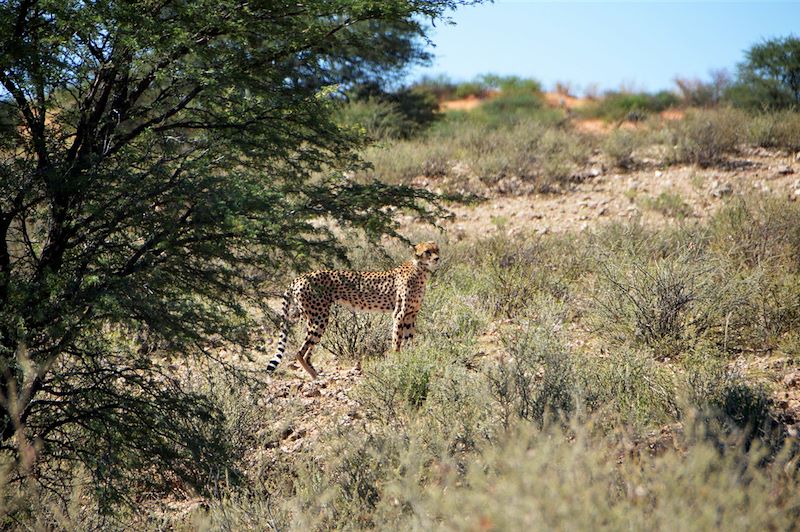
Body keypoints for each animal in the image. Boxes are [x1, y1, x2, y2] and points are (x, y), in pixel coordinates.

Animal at [266, 241, 440, 378]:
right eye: (427, 251)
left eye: (437, 249)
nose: (437, 258)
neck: (420, 270)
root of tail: (299, 277)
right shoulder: (399, 314)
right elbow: (396, 341)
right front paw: (397, 363)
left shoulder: (411, 315)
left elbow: (410, 340)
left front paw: (411, 359)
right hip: (319, 317)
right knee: (300, 351)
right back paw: (315, 377)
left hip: (314, 317)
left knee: (308, 350)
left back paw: (316, 374)